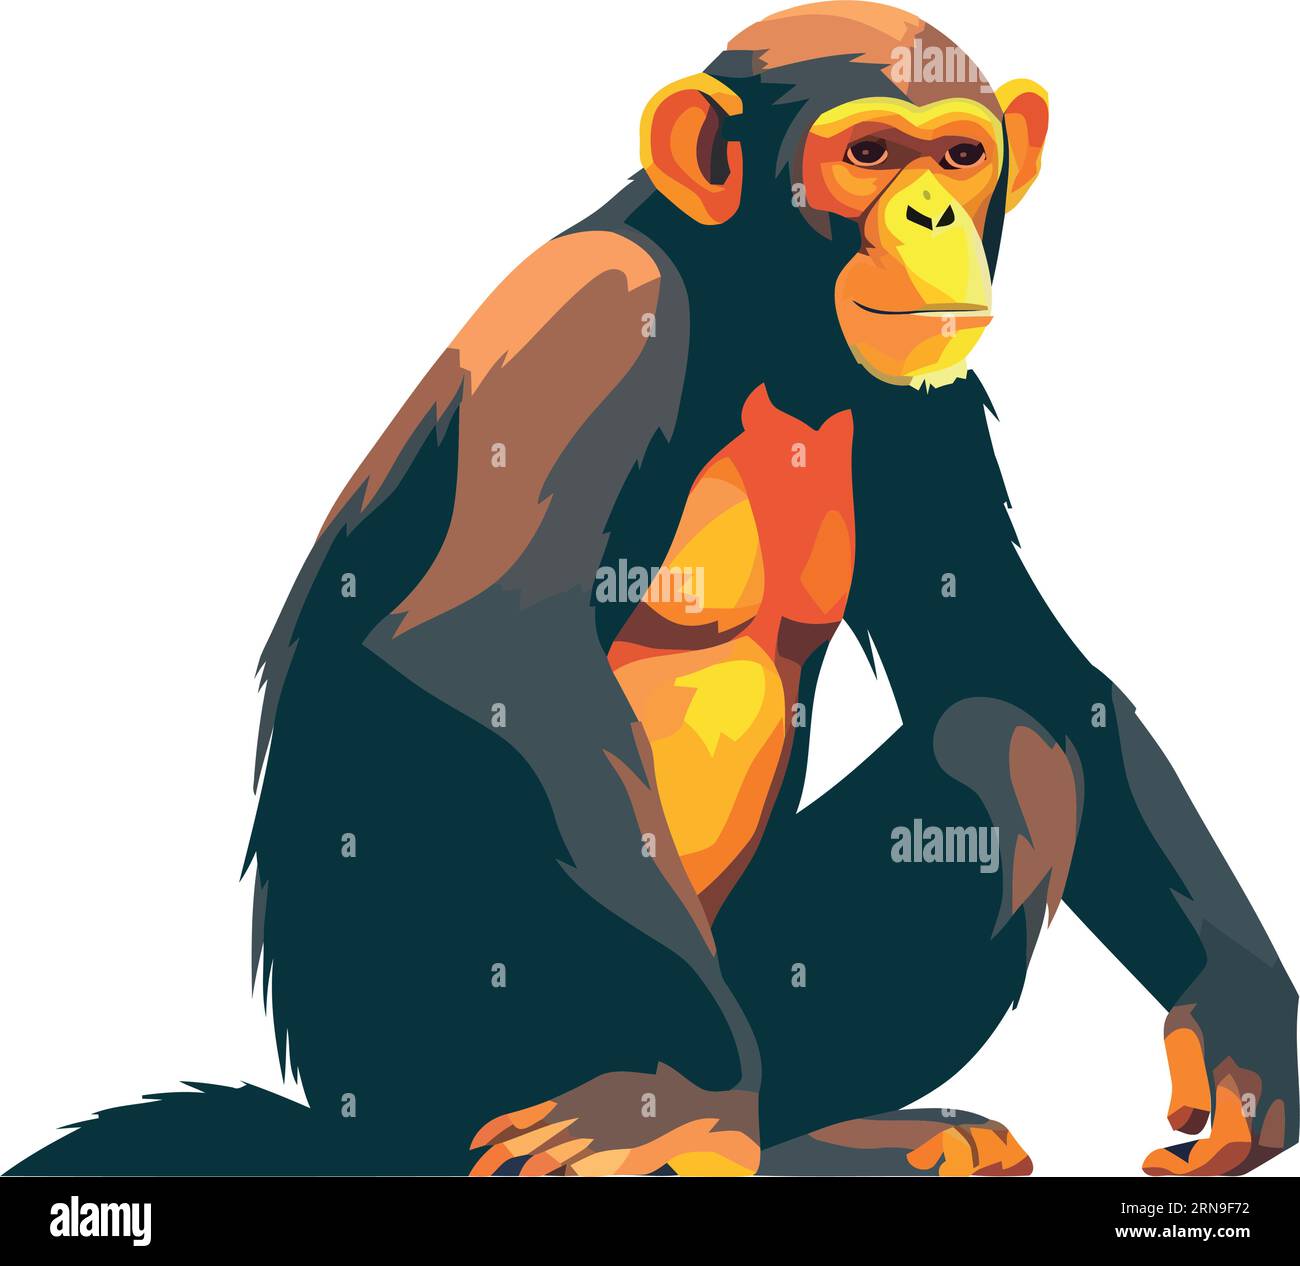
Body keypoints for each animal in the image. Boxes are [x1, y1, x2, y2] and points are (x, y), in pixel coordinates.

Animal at [12, 1, 1296, 1177]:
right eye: (869, 152)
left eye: (960, 155)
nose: (933, 214)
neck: (767, 325)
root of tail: (351, 1126)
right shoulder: (596, 318)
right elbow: (488, 648)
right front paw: (675, 1097)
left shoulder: (928, 405)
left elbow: (1008, 653)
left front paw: (1239, 1024)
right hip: (467, 1070)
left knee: (1006, 752)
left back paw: (843, 1138)